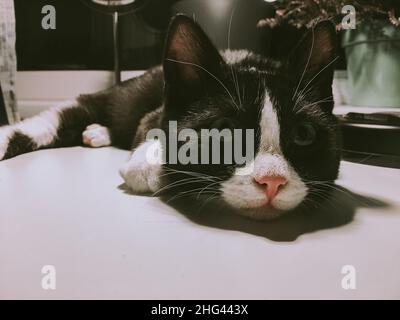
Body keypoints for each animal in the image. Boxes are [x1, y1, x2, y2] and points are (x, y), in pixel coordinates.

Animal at [0, 15, 340, 220]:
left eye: (304, 134)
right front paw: (146, 164)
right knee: (67, 113)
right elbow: (151, 127)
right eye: (224, 131)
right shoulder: (152, 113)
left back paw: (96, 132)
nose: (272, 181)